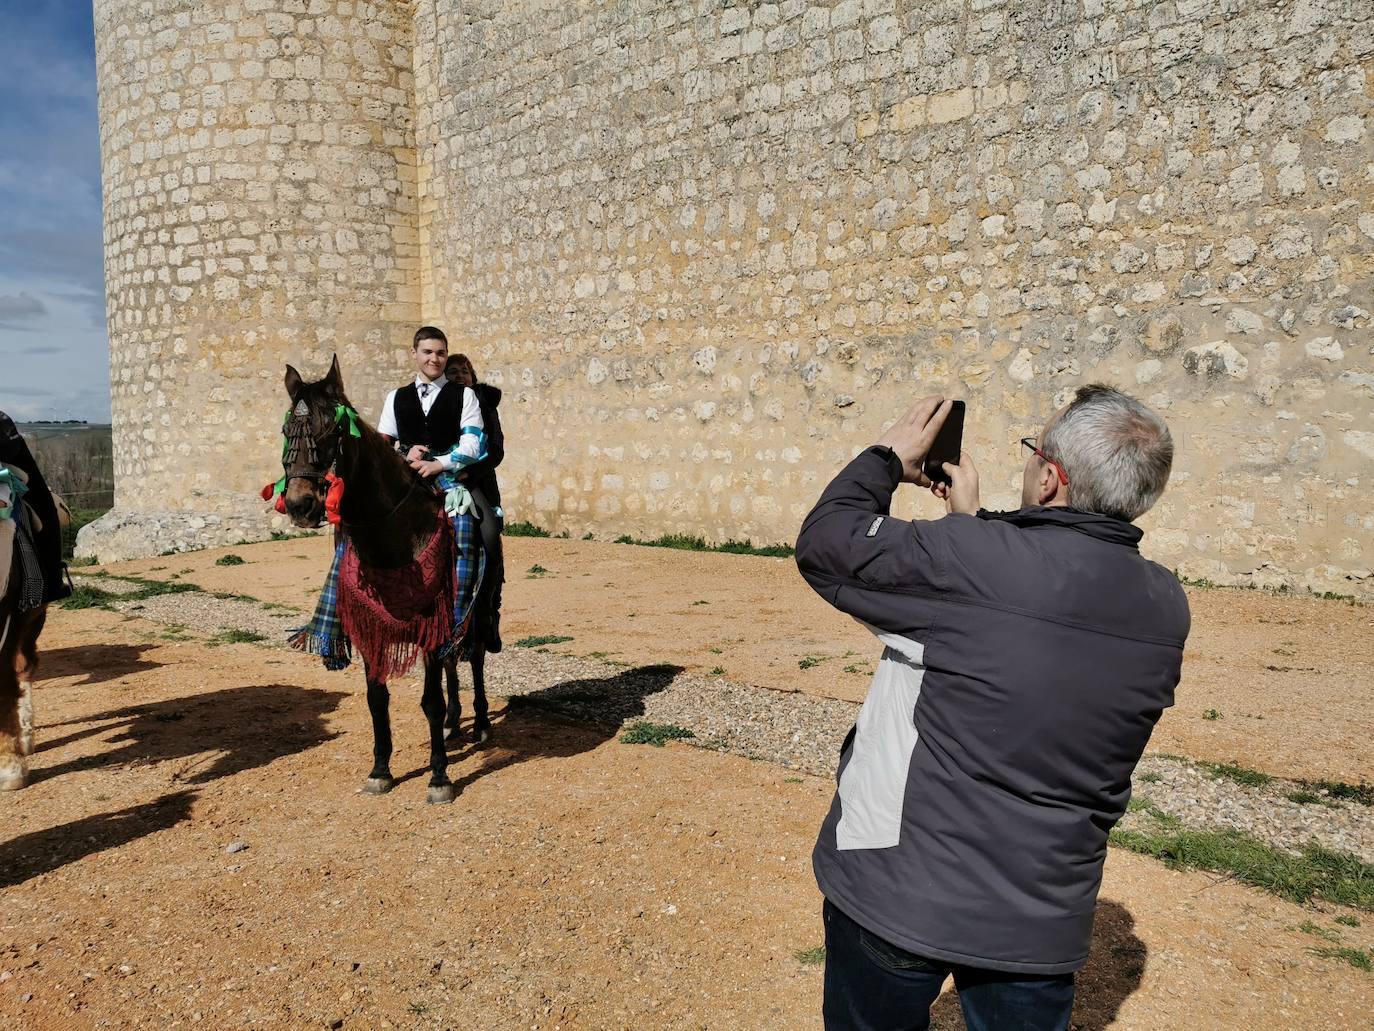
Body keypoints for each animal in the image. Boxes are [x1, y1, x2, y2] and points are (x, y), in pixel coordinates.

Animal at [278, 360, 489, 802]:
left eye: (332, 430)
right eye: (288, 430)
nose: (300, 505)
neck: (394, 531)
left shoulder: (431, 618)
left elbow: (430, 701)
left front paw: (439, 776)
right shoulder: (370, 623)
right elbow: (377, 697)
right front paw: (380, 770)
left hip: (475, 604)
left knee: (474, 654)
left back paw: (478, 724)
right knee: (452, 661)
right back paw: (455, 724)